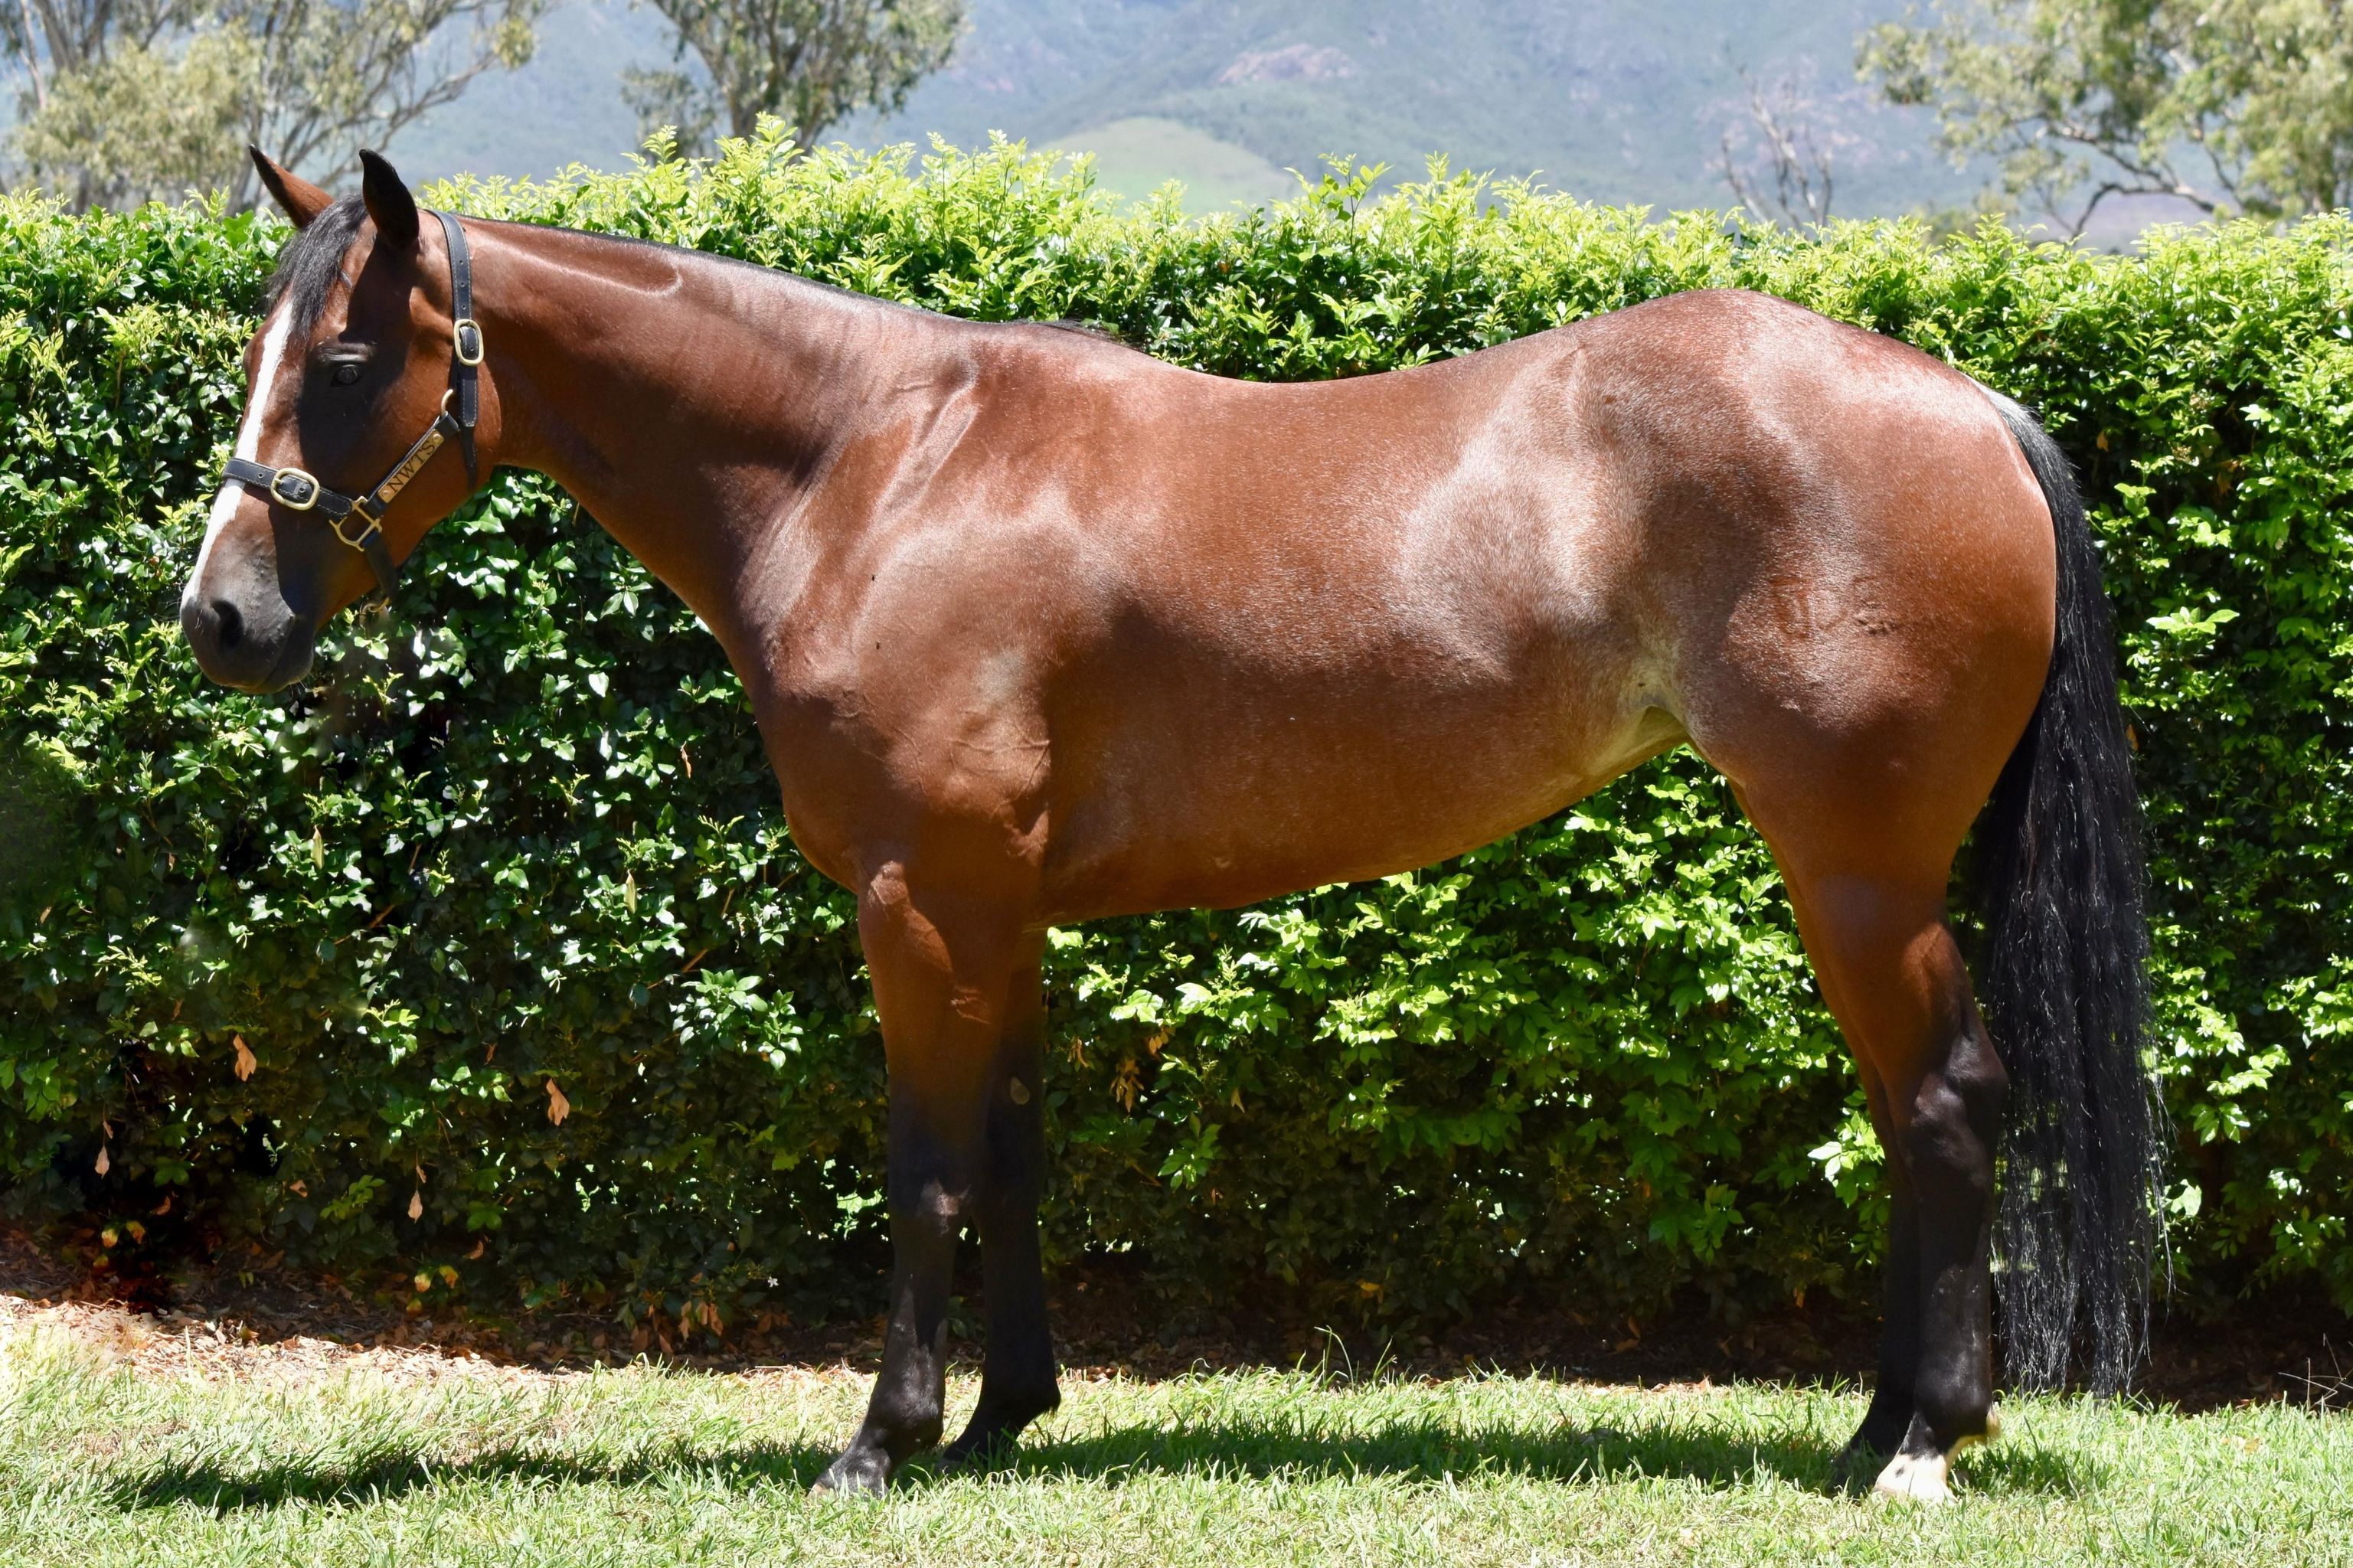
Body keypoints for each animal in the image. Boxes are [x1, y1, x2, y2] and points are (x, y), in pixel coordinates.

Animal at [181, 148, 2163, 1504]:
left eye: (343, 363)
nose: (220, 620)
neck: (877, 469)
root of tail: (1973, 403)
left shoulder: (920, 898)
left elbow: (924, 1163)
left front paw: (883, 1438)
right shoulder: (1001, 910)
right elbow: (1015, 1148)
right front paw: (1004, 1412)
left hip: (1856, 871)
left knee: (1941, 1108)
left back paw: (1918, 1444)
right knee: (1915, 1121)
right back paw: (1877, 1423)